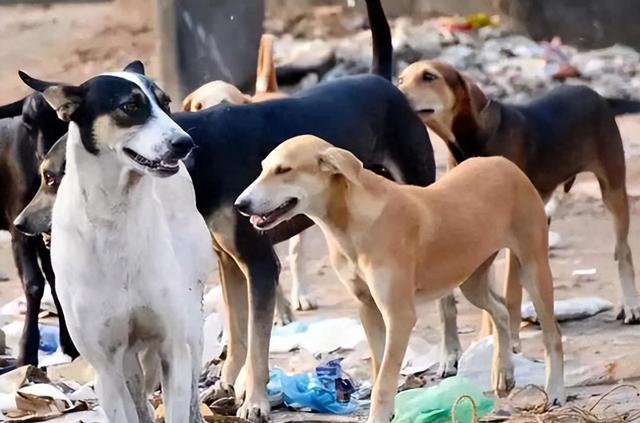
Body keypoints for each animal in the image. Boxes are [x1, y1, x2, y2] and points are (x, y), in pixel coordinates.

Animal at [0, 94, 77, 366]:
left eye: (60, 119)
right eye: (27, 123)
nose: (45, 153)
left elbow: (56, 280)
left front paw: (71, 346)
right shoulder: (18, 227)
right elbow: (34, 284)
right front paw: (26, 353)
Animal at [20, 63, 212, 423]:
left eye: (165, 103)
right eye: (130, 106)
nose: (186, 143)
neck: (116, 215)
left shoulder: (173, 349)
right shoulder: (106, 367)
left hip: (192, 319)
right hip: (124, 362)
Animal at [235, 135, 564, 423]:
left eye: (284, 170)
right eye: (263, 168)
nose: (240, 204)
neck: (350, 222)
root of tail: (504, 163)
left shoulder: (399, 315)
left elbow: (384, 379)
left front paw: (380, 415)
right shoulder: (367, 308)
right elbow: (381, 367)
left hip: (533, 267)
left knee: (552, 335)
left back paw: (555, 390)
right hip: (471, 278)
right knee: (500, 310)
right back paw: (504, 373)